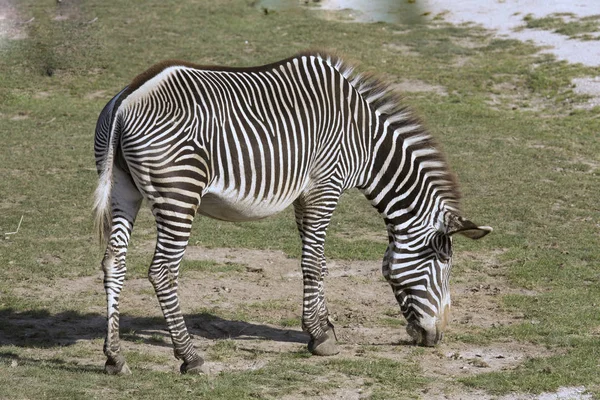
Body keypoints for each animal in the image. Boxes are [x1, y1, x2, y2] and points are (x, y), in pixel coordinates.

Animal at [94, 51, 492, 374]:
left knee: (114, 262)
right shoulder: (325, 187)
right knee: (162, 271)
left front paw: (322, 328)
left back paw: (115, 357)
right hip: (179, 193)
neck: (364, 138)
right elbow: (314, 262)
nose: (436, 337)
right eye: (443, 264)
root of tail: (127, 100)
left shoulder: (305, 196)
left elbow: (318, 262)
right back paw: (189, 357)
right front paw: (321, 337)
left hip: (123, 188)